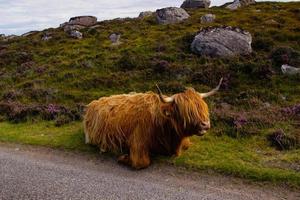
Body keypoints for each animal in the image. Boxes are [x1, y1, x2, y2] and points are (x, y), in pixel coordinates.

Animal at [83, 78, 221, 169]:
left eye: (202, 107)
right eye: (187, 111)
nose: (205, 124)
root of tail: (93, 103)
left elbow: (186, 145)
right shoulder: (138, 142)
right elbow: (142, 162)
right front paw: (123, 158)